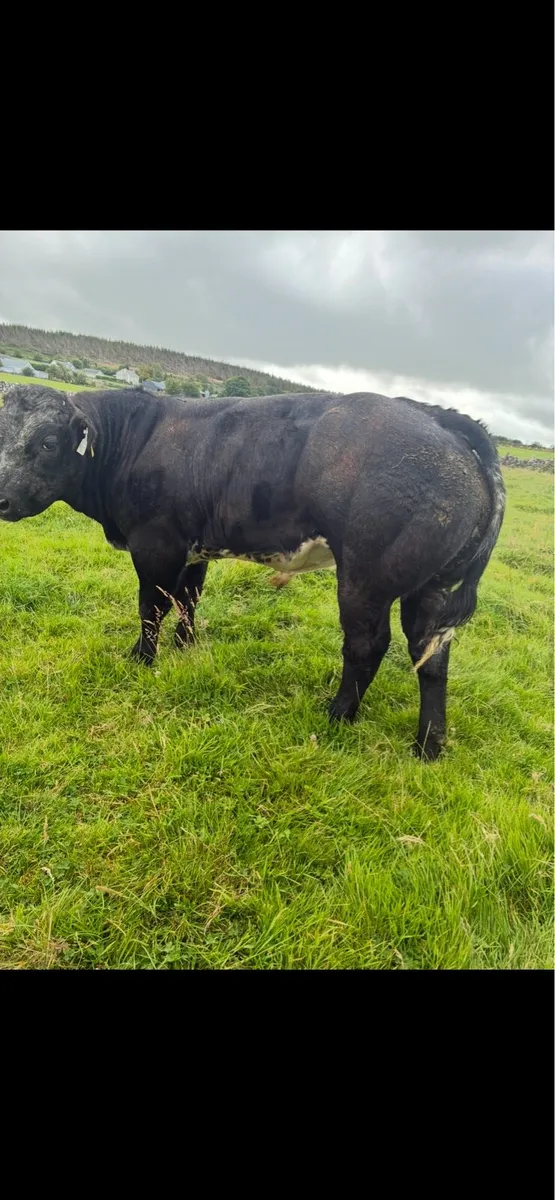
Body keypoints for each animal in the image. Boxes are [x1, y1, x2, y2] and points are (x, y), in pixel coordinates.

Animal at [0, 384, 505, 760]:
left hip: (365, 578)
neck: (135, 440)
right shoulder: (194, 548)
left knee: (367, 645)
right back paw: (427, 746)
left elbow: (152, 606)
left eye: (47, 442)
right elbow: (187, 599)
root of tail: (436, 416)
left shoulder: (155, 545)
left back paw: (338, 714)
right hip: (432, 587)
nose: (1, 498)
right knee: (431, 656)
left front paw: (142, 659)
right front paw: (186, 647)